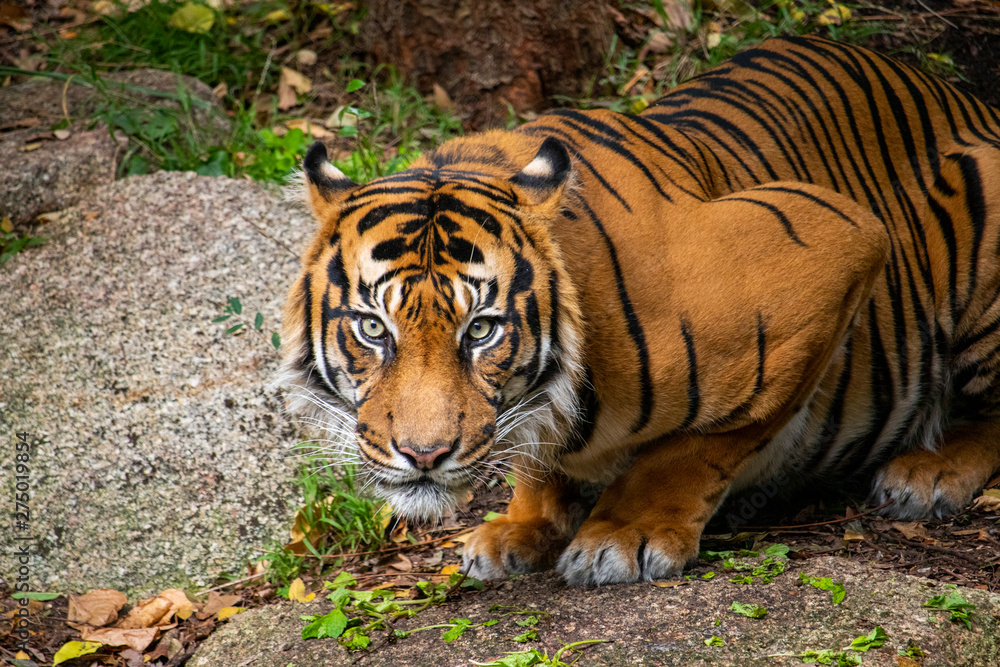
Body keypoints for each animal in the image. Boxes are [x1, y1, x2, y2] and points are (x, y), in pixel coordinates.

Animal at [279, 35, 1000, 585]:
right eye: (373, 328)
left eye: (480, 330)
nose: (422, 455)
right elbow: (537, 462)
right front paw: (522, 526)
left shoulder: (836, 244)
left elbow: (702, 444)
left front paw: (626, 533)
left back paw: (927, 473)